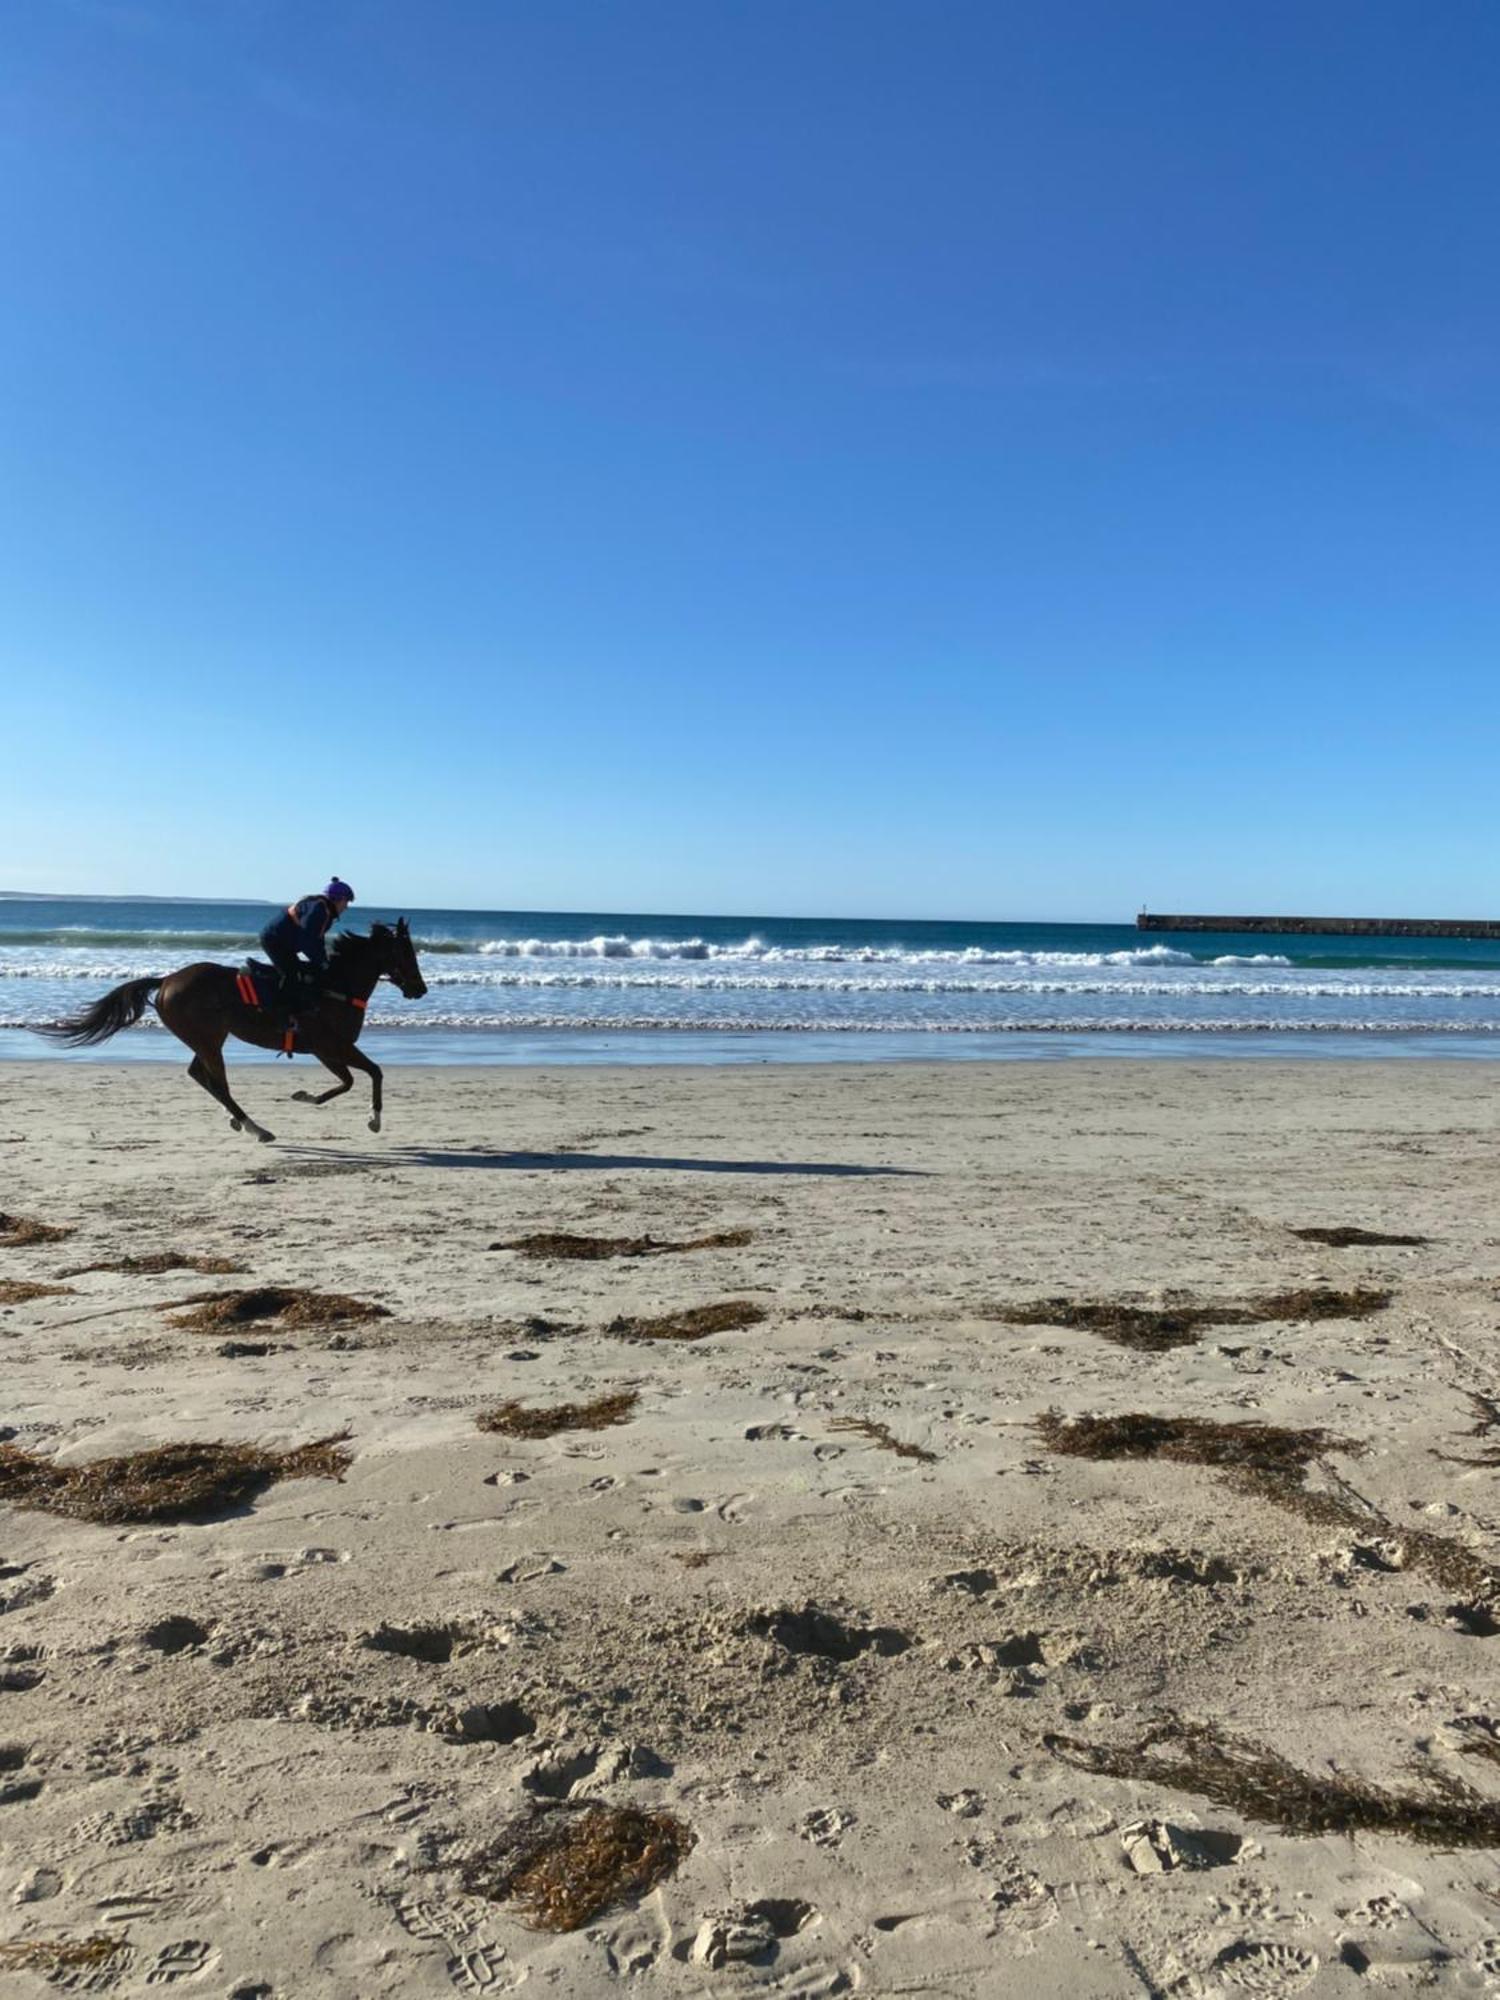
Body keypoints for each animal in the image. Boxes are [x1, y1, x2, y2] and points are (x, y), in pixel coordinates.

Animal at [42, 920, 428, 1144]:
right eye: (405, 952)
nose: (420, 989)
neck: (335, 987)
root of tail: (165, 981)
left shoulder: (328, 1049)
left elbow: (353, 1079)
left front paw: (307, 1096)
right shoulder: (329, 1045)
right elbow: (371, 1073)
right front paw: (373, 1120)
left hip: (205, 1039)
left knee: (200, 1075)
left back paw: (239, 1121)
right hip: (210, 1040)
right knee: (219, 1084)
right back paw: (255, 1127)